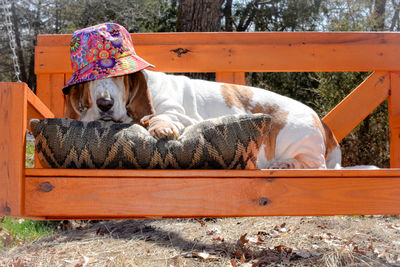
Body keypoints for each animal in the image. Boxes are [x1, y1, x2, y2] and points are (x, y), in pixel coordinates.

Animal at [62, 23, 340, 170]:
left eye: (121, 77)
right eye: (90, 80)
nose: (105, 104)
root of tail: (324, 125)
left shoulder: (181, 116)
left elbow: (161, 118)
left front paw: (160, 128)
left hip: (295, 137)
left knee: (315, 166)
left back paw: (283, 166)